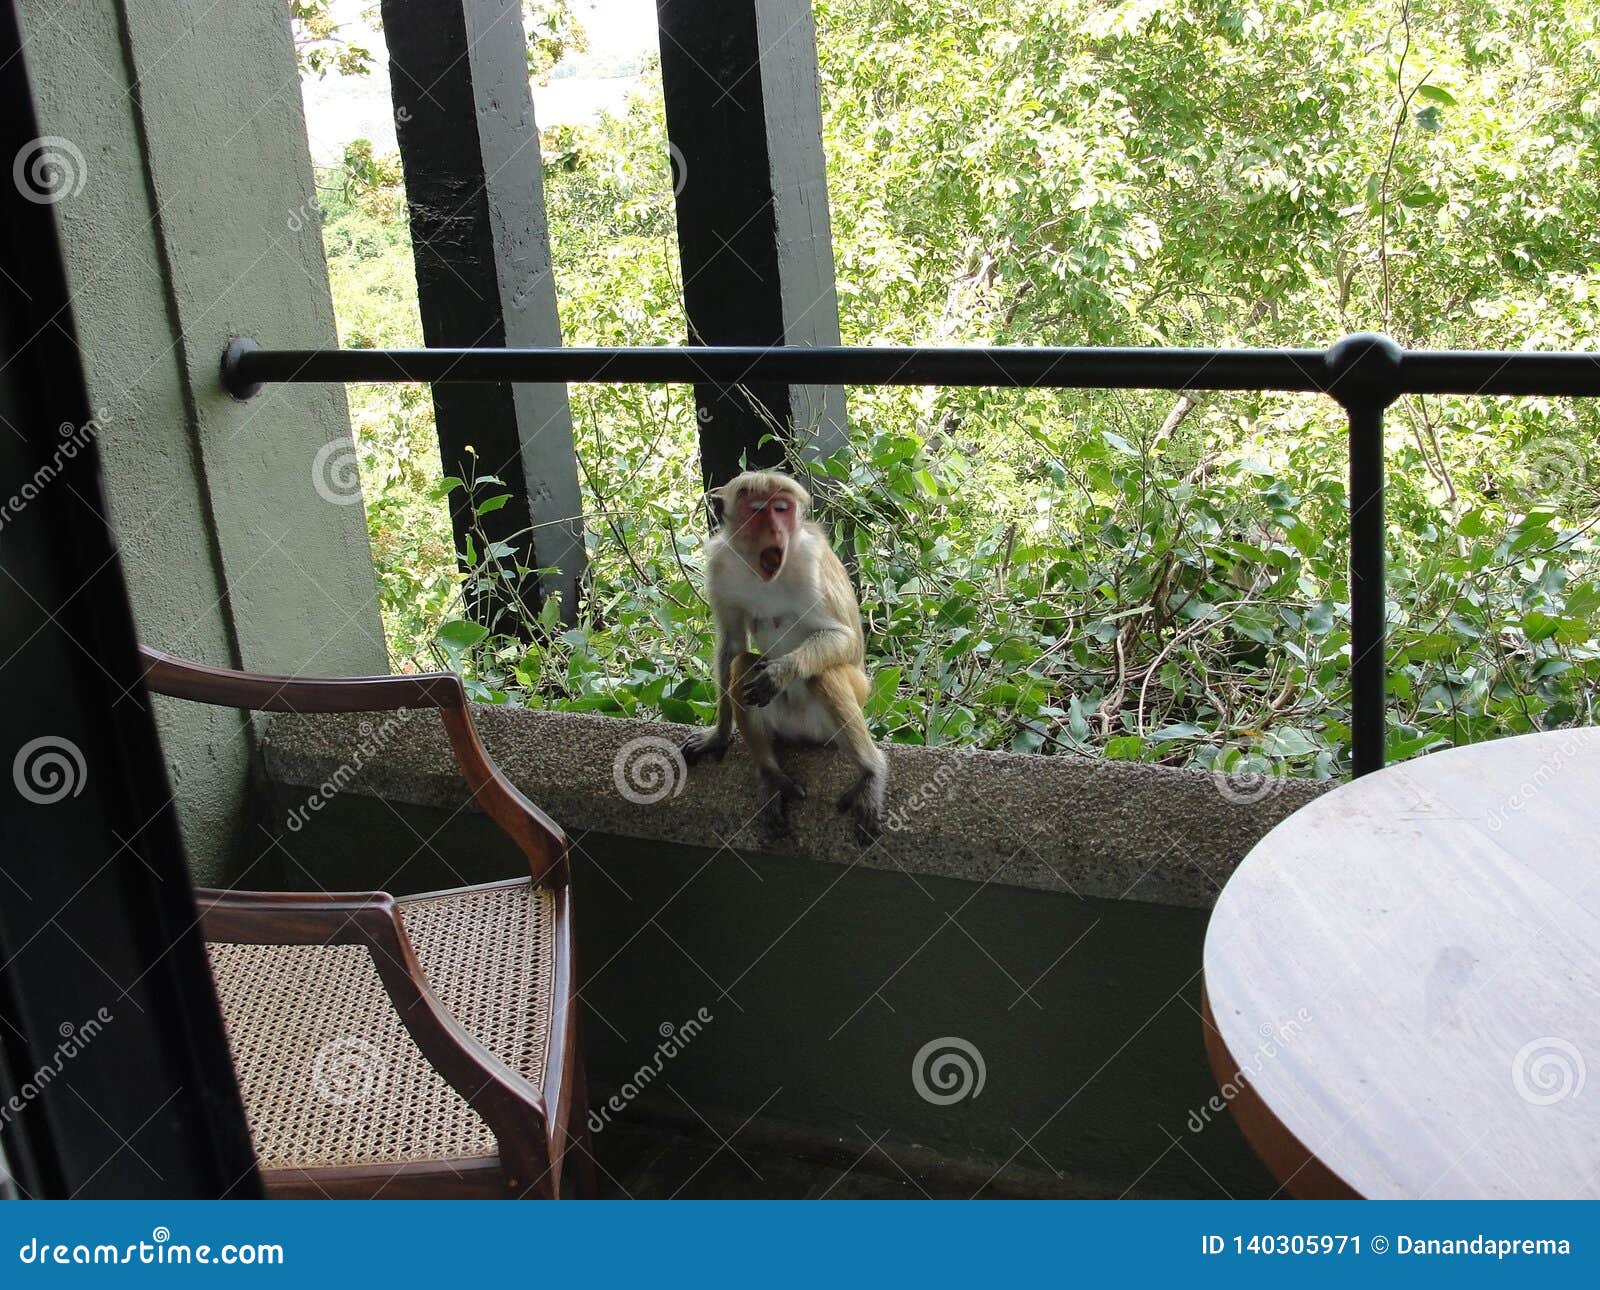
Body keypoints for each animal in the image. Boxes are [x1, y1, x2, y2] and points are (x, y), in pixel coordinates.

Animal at [681, 469, 888, 844]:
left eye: (782, 509)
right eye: (757, 510)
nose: (777, 531)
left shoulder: (809, 561)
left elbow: (847, 638)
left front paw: (781, 672)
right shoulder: (720, 564)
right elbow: (732, 643)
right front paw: (718, 734)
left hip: (845, 708)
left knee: (826, 673)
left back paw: (871, 772)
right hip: (782, 725)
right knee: (743, 665)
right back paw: (771, 775)